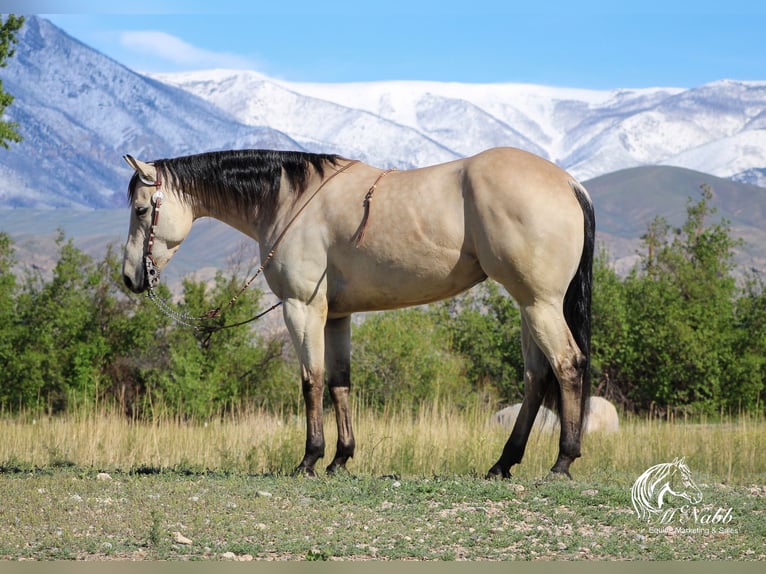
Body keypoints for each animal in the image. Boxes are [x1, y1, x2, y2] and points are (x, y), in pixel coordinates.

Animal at [121, 147, 600, 482]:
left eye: (142, 209)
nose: (130, 277)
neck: (289, 202)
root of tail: (570, 183)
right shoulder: (337, 317)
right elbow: (339, 383)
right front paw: (340, 458)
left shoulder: (302, 309)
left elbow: (311, 381)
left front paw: (310, 459)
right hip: (528, 305)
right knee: (537, 377)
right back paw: (502, 463)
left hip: (538, 303)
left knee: (567, 365)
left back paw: (562, 461)